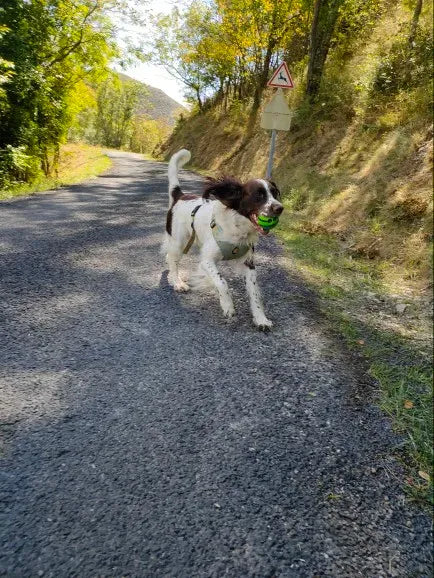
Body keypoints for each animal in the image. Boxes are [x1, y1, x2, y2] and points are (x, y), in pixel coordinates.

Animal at [162, 149, 283, 330]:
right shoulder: (206, 261)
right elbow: (222, 282)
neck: (238, 228)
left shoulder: (249, 264)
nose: (280, 208)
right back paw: (178, 282)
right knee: (172, 259)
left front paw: (261, 319)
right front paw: (228, 306)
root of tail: (180, 196)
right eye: (259, 195)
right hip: (179, 241)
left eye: (274, 193)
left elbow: (254, 293)